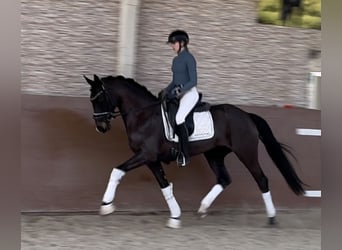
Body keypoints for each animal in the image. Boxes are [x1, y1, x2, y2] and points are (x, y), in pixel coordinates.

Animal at [84, 74, 306, 229]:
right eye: (91, 100)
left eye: (99, 99)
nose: (100, 127)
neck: (143, 115)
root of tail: (246, 115)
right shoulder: (151, 160)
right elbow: (164, 186)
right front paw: (175, 216)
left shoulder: (146, 155)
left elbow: (117, 170)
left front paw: (106, 204)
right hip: (214, 154)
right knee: (224, 179)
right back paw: (202, 208)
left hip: (246, 153)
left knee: (261, 180)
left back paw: (271, 218)